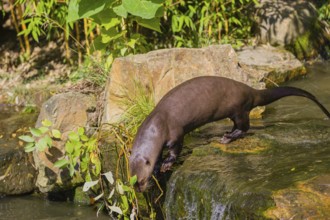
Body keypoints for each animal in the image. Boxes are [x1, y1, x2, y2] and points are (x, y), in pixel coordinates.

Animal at [127, 75, 328, 191]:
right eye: (132, 181)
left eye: (141, 180)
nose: (140, 190)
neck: (158, 123)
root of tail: (251, 91)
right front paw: (159, 167)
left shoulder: (175, 132)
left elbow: (176, 148)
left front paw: (167, 164)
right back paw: (227, 132)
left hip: (239, 108)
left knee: (244, 127)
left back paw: (227, 137)